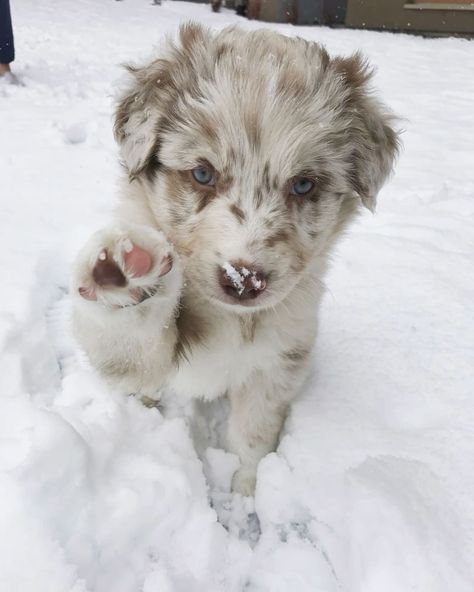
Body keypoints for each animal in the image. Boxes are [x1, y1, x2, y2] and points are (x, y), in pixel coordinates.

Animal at [70, 23, 398, 494]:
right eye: (202, 173)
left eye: (303, 184)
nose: (244, 280)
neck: (230, 318)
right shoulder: (147, 362)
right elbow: (131, 349)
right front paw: (126, 274)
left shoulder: (279, 359)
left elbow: (253, 436)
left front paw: (246, 492)